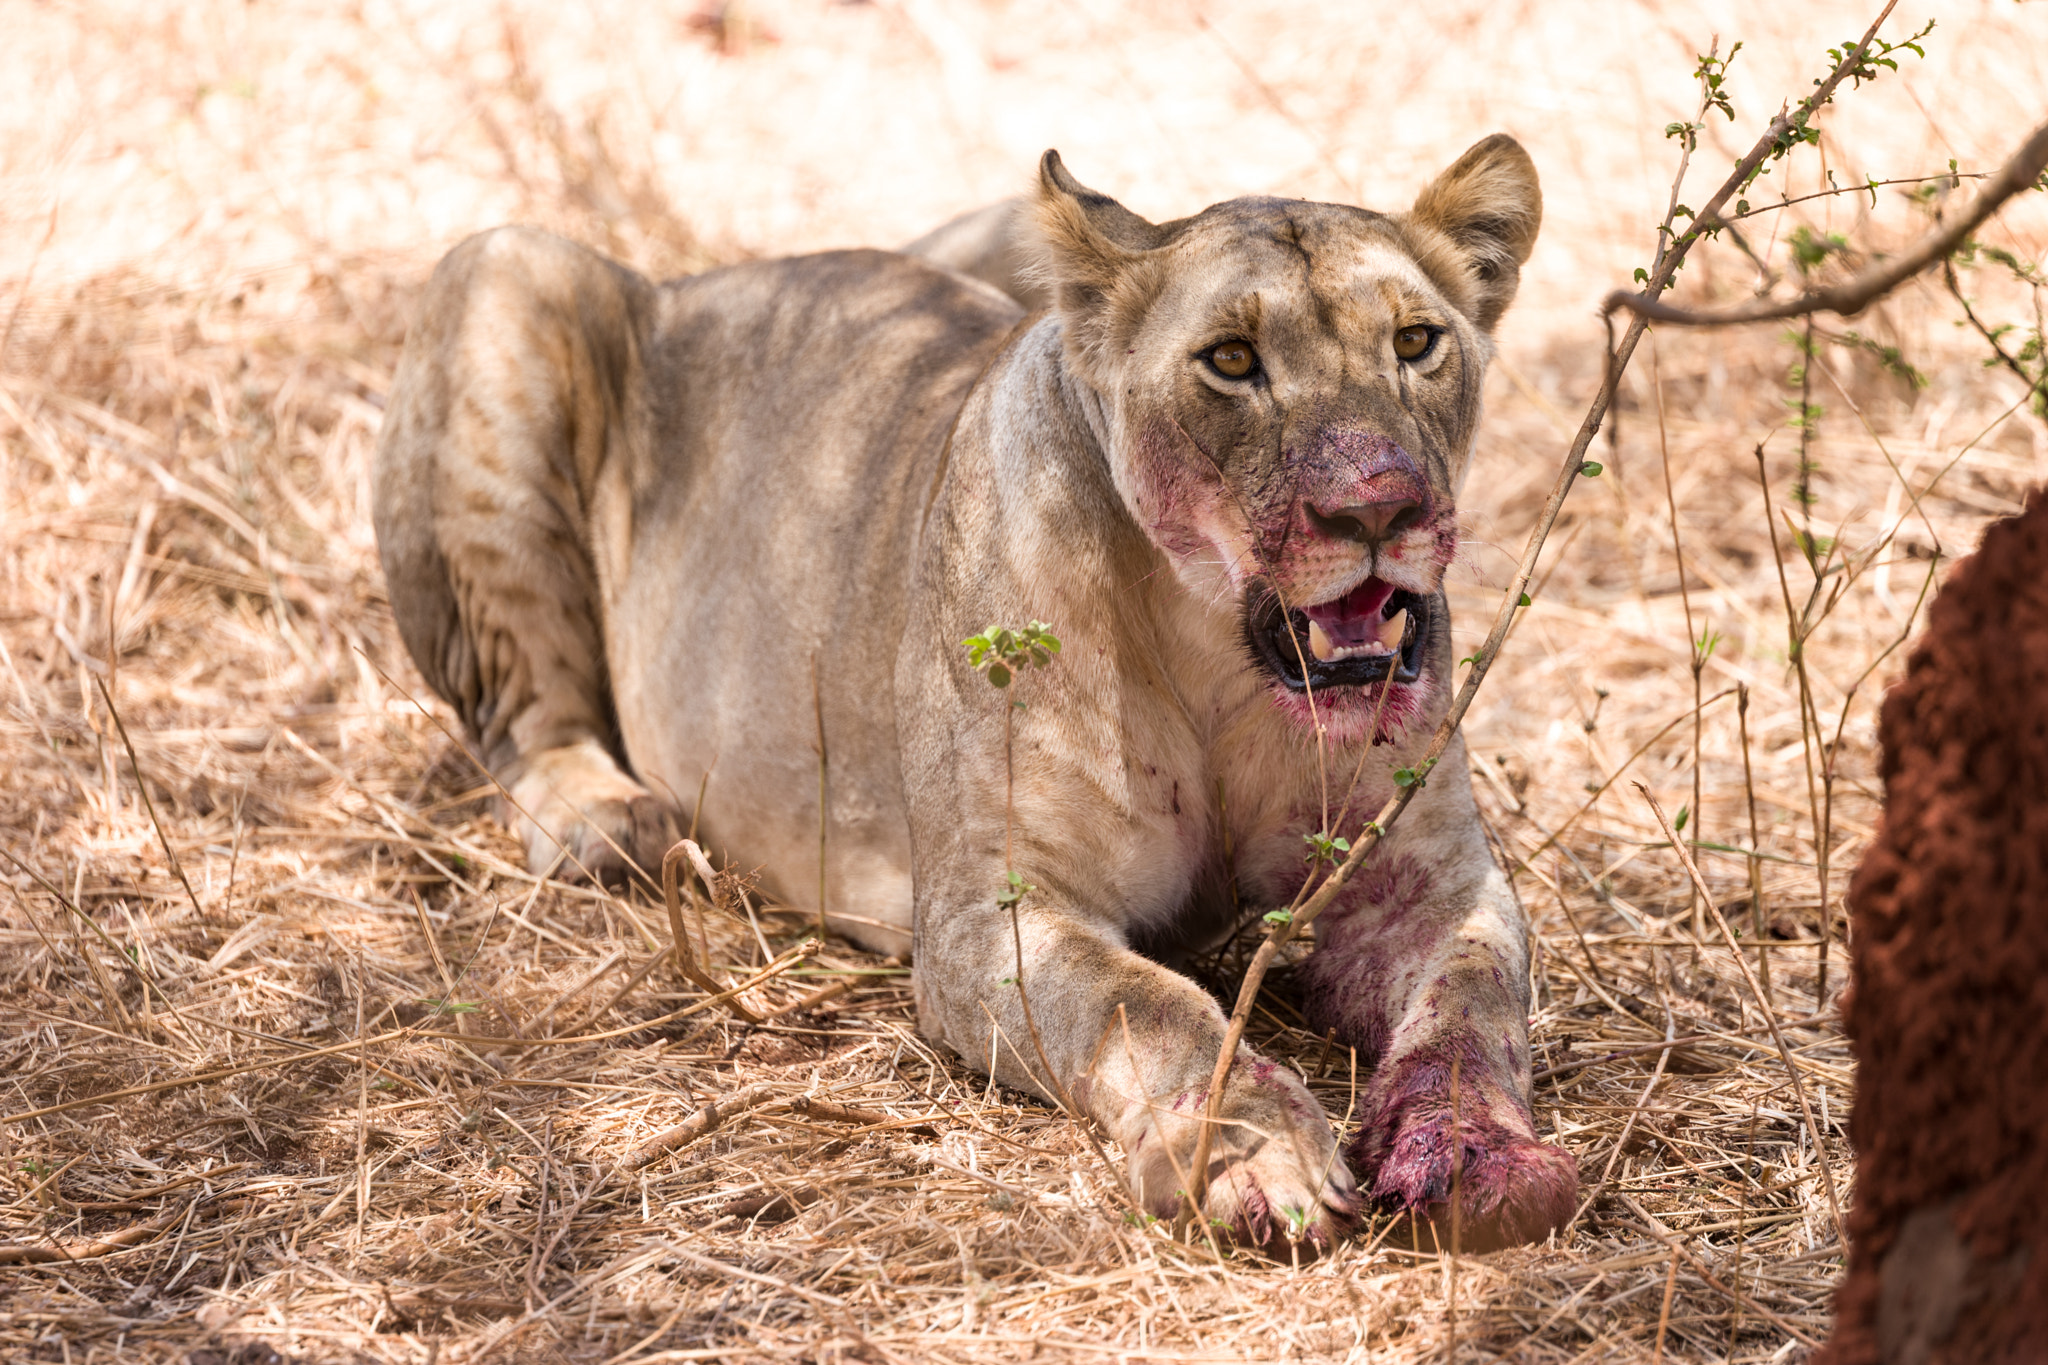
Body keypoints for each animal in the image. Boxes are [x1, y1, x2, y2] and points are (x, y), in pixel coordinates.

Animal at [372, 136, 1577, 1249]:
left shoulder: (1422, 880)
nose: (1378, 508)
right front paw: (1251, 1156)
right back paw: (603, 817)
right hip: (504, 268)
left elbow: (1473, 1004)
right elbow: (1151, 1007)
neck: (1216, 662)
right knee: (523, 719)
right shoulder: (987, 913)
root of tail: (697, 281)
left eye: (1415, 343)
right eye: (1232, 361)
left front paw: (1481, 1158)